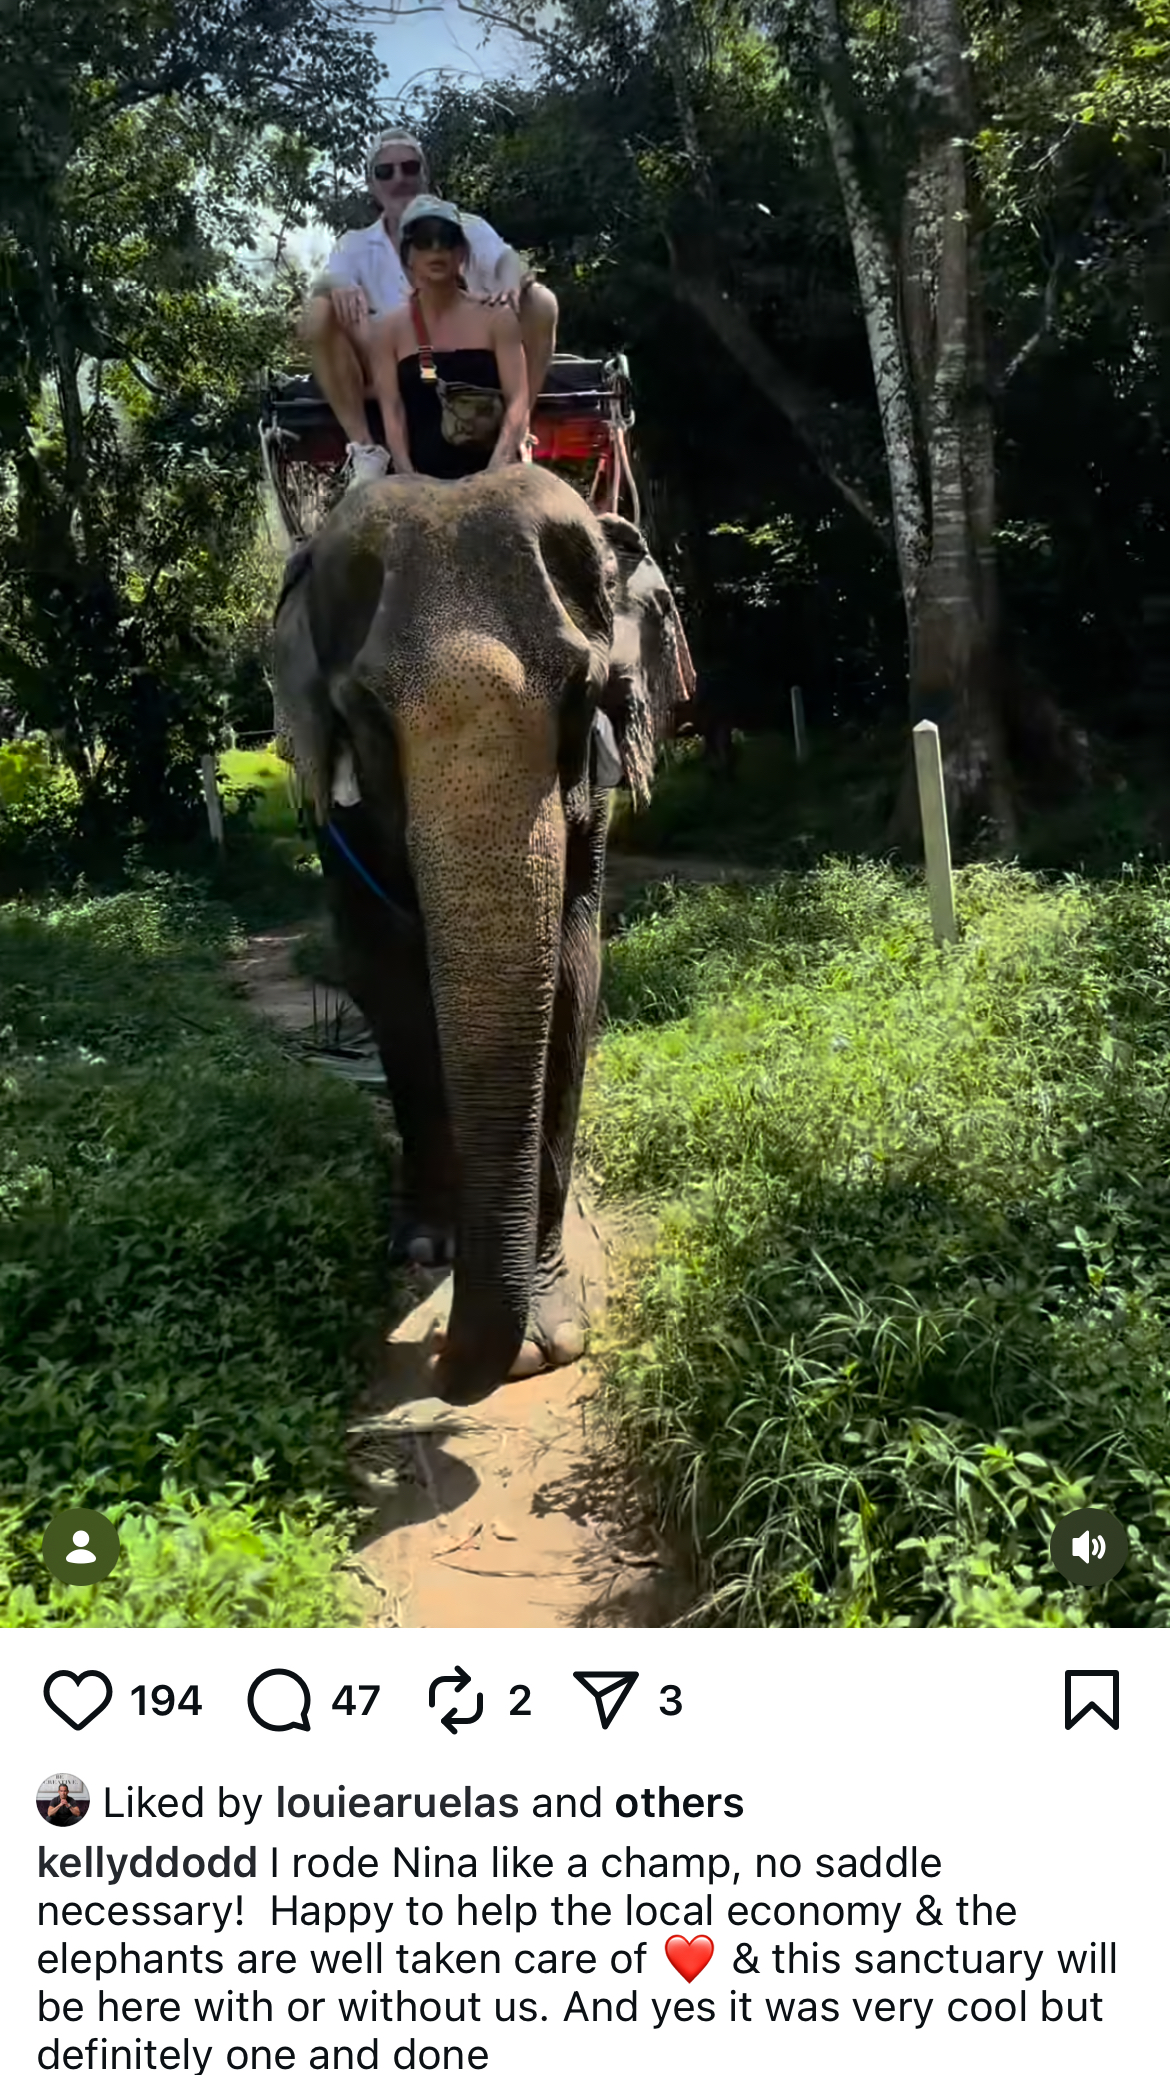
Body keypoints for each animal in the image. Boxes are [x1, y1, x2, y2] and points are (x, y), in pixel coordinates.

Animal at [272, 465, 694, 1399]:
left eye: (583, 693)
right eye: (364, 711)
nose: (436, 1357)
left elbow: (573, 977)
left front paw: (547, 1338)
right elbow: (390, 977)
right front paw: (430, 1248)